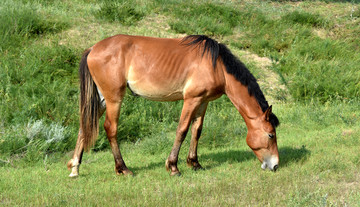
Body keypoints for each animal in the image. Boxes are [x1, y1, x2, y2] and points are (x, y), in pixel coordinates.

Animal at [67, 34, 282, 176]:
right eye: (271, 135)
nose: (275, 165)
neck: (217, 66)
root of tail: (93, 49)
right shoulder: (191, 100)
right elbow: (182, 130)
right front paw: (173, 166)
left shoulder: (203, 102)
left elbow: (197, 130)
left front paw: (194, 163)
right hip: (114, 99)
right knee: (110, 129)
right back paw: (123, 168)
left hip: (101, 100)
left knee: (84, 126)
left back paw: (75, 168)